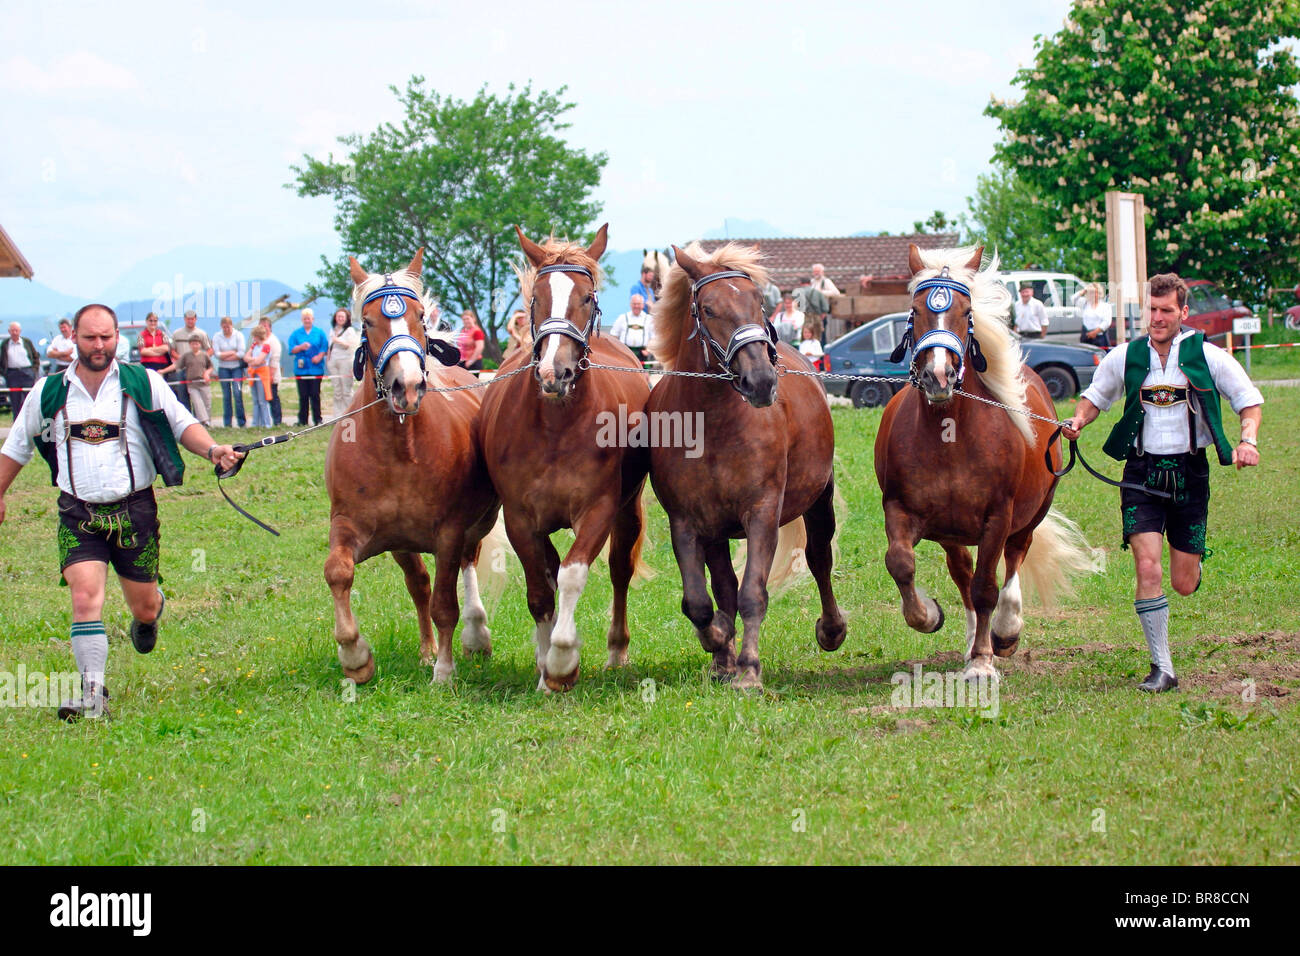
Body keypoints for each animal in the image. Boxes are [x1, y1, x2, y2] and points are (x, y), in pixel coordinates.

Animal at [325, 252, 501, 686]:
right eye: (367, 322)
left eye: (420, 316)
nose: (406, 385)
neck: (399, 450)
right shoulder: (350, 525)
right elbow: (338, 571)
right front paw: (355, 655)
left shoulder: (450, 532)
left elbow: (445, 605)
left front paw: (445, 671)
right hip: (402, 543)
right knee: (418, 584)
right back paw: (425, 651)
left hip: (471, 529)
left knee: (467, 567)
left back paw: (475, 634)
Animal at [475, 223, 650, 691]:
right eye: (536, 298)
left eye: (586, 297)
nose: (556, 372)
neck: (555, 428)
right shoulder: (520, 519)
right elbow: (540, 589)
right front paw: (543, 667)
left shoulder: (598, 510)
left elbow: (573, 574)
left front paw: (561, 660)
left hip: (629, 511)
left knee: (619, 571)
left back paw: (616, 651)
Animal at [647, 238, 842, 686]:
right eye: (708, 309)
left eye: (759, 302)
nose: (761, 381)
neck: (713, 424)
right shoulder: (687, 522)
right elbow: (700, 602)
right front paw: (720, 644)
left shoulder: (762, 512)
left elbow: (752, 592)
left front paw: (749, 669)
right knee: (722, 587)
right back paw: (723, 657)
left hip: (819, 501)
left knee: (819, 559)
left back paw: (831, 630)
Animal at [873, 243, 1097, 686]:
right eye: (915, 311)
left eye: (965, 311)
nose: (938, 375)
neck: (951, 435)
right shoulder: (901, 510)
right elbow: (902, 564)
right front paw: (929, 615)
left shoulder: (998, 516)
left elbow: (987, 588)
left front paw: (983, 660)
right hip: (952, 532)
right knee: (962, 573)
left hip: (1030, 515)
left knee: (1014, 559)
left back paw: (1005, 632)